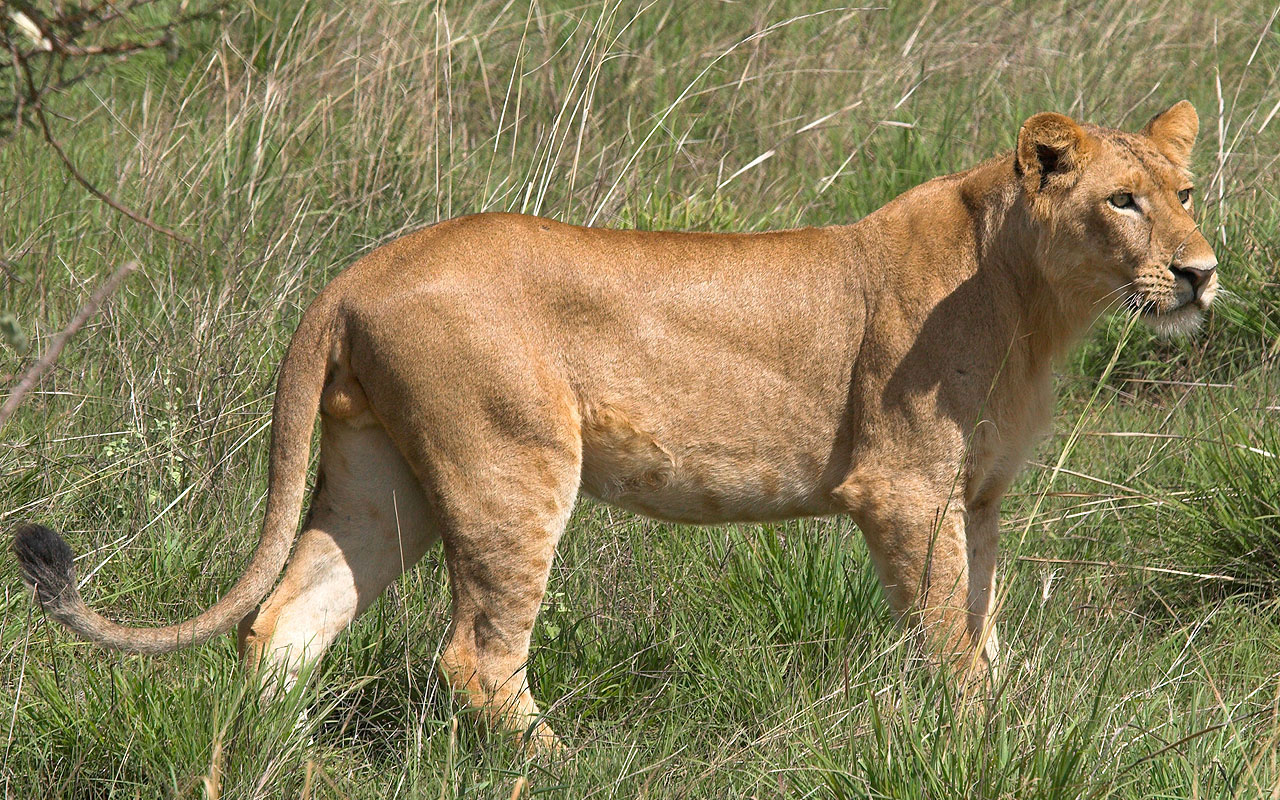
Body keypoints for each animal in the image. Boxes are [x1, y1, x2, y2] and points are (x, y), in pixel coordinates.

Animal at [14, 101, 1217, 750]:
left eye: (1188, 190)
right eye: (1120, 200)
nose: (1202, 272)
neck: (1037, 302)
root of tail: (357, 270)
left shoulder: (979, 497)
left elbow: (985, 624)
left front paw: (1011, 729)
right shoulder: (904, 490)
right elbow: (947, 638)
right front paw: (976, 737)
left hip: (379, 476)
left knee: (285, 621)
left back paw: (278, 760)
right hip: (509, 466)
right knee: (476, 656)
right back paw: (558, 762)